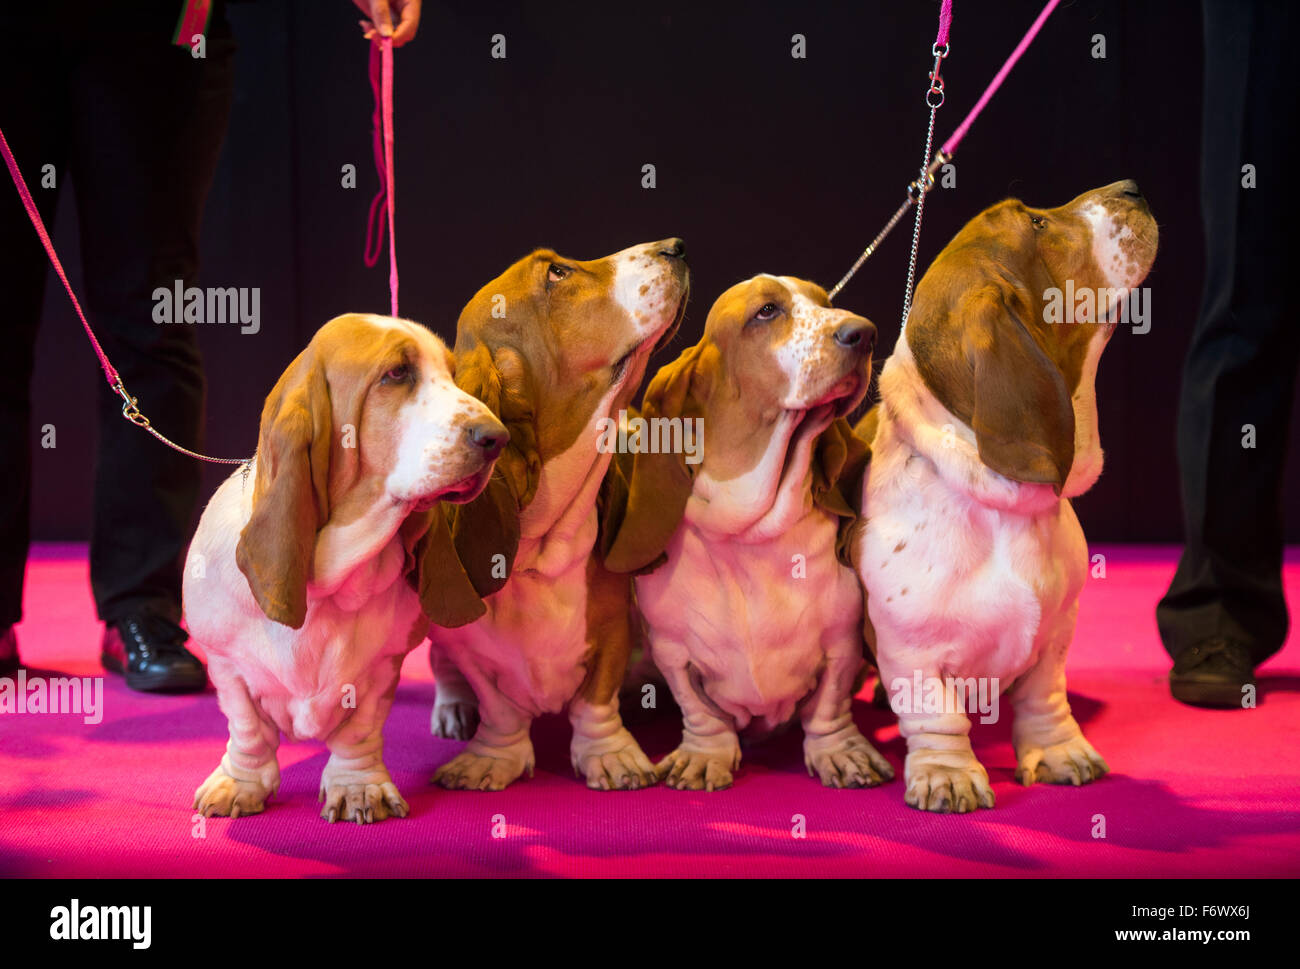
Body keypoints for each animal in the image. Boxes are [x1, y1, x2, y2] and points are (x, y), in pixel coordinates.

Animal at [185, 313, 504, 822]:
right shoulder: (226, 664)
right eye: (396, 373)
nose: (497, 438)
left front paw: (359, 788)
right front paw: (240, 783)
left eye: (454, 375)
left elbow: (359, 732)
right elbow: (248, 730)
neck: (332, 585)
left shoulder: (381, 670)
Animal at [423, 238, 691, 790]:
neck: (537, 556)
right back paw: (452, 709)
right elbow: (498, 707)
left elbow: (595, 701)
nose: (677, 247)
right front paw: (492, 757)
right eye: (557, 274)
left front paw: (610, 754)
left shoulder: (611, 628)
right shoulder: (473, 651)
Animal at [600, 275, 894, 790]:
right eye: (767, 311)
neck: (750, 531)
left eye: (825, 302)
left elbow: (829, 708)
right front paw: (705, 756)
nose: (865, 333)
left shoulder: (841, 644)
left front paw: (841, 753)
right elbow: (701, 712)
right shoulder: (674, 652)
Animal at [852, 179, 1159, 806]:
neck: (999, 505)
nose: (1132, 188)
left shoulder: (1058, 632)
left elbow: (1044, 696)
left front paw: (1061, 752)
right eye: (1037, 224)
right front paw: (946, 774)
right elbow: (936, 717)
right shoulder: (913, 654)